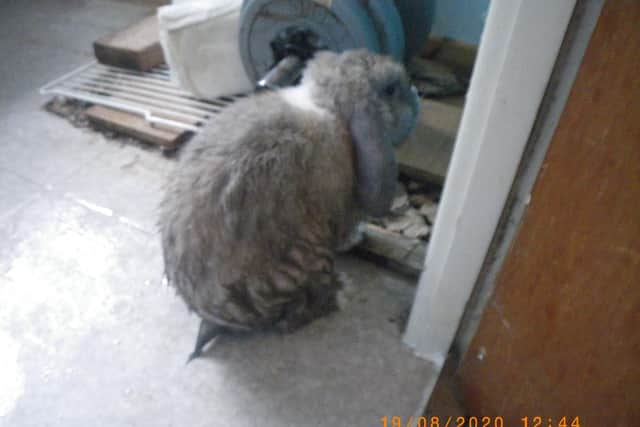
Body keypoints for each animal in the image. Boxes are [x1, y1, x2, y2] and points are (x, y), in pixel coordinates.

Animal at [159, 49, 420, 361]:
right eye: (391, 89)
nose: (416, 97)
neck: (329, 108)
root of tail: (214, 315)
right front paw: (357, 238)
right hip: (309, 255)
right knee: (293, 318)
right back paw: (340, 292)